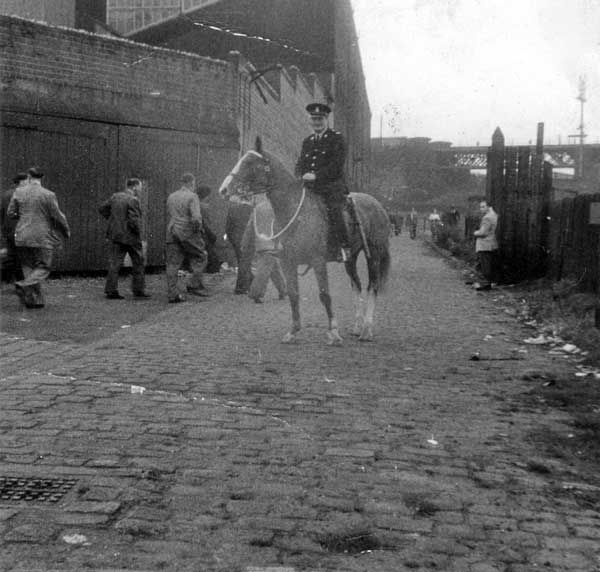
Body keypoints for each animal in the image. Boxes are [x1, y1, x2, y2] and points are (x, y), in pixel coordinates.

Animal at [218, 139, 392, 344]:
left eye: (250, 163)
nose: (223, 189)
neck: (295, 211)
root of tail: (377, 204)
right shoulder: (288, 262)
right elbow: (294, 294)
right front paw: (293, 331)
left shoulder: (318, 261)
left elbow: (324, 294)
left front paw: (333, 332)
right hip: (350, 257)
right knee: (356, 284)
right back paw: (357, 327)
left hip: (374, 254)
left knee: (373, 286)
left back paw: (366, 329)